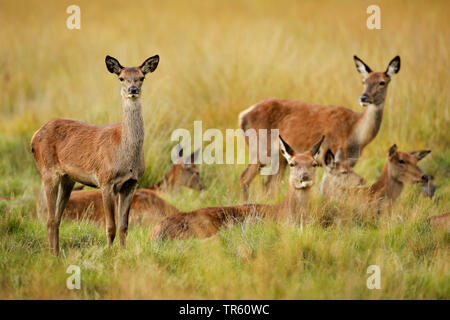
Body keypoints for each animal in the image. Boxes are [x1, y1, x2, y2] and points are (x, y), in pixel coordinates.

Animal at [30, 55, 160, 255]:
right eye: (121, 78)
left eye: (142, 77)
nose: (133, 90)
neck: (124, 155)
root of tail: (34, 137)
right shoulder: (105, 181)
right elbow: (111, 226)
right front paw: (109, 253)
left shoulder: (131, 183)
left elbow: (124, 226)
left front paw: (123, 253)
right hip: (48, 171)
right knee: (50, 220)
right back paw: (53, 256)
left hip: (68, 179)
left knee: (57, 219)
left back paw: (58, 254)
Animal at [239, 55, 400, 200]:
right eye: (364, 81)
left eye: (382, 82)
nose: (364, 97)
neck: (356, 134)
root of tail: (243, 115)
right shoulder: (333, 156)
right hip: (260, 148)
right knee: (245, 178)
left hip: (280, 157)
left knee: (270, 185)